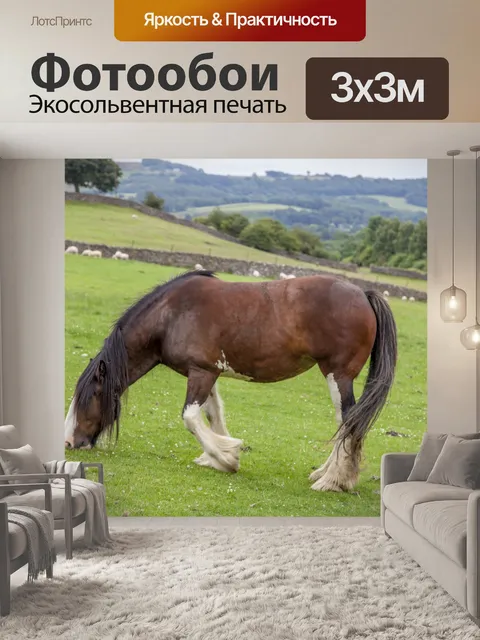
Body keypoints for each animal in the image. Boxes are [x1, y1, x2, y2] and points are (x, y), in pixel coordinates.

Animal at [64, 270, 397, 492]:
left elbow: (190, 418)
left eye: (91, 397)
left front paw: (227, 457)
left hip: (337, 375)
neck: (171, 314)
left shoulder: (200, 373)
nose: (69, 442)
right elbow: (212, 416)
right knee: (347, 423)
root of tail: (364, 294)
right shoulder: (206, 373)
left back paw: (332, 481)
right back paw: (328, 475)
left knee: (349, 421)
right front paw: (220, 455)